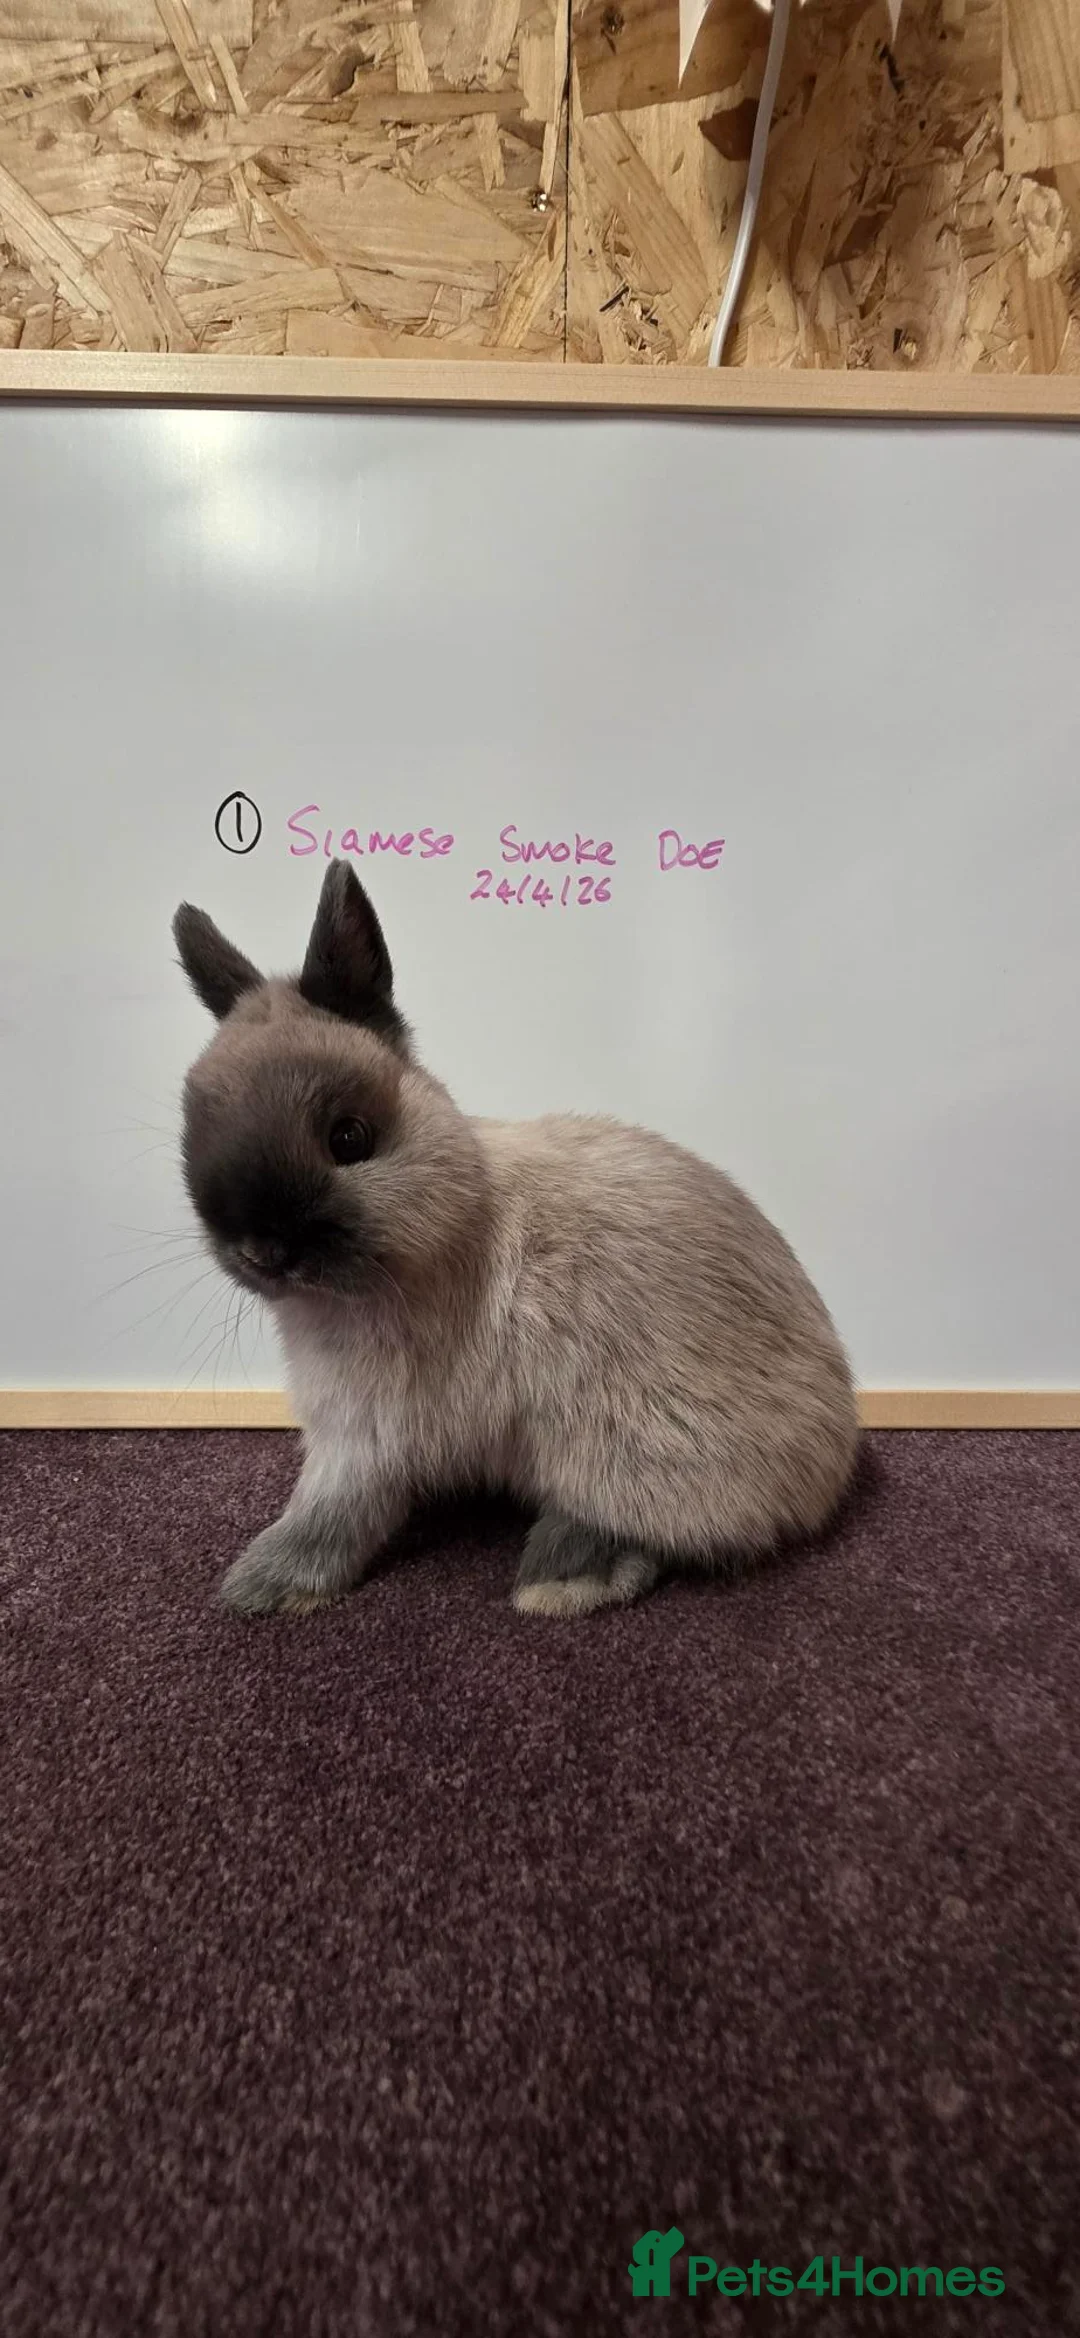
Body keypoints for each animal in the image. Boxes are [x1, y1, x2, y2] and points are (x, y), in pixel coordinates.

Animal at [173, 860, 859, 1620]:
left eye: (348, 1138)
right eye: (193, 1126)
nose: (263, 1250)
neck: (457, 1227)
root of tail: (834, 1459)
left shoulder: (370, 1433)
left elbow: (334, 1510)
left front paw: (263, 1584)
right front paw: (255, 1585)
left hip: (624, 1450)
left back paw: (561, 1578)